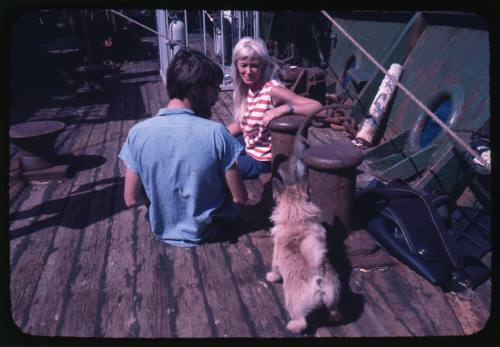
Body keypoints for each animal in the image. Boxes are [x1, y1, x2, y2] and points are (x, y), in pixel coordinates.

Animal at [266, 177, 344, 334]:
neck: (296, 221)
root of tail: (317, 275)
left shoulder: (275, 256)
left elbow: (274, 269)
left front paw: (271, 277)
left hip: (293, 303)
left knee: (301, 321)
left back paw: (292, 326)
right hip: (333, 295)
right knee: (334, 311)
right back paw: (334, 317)